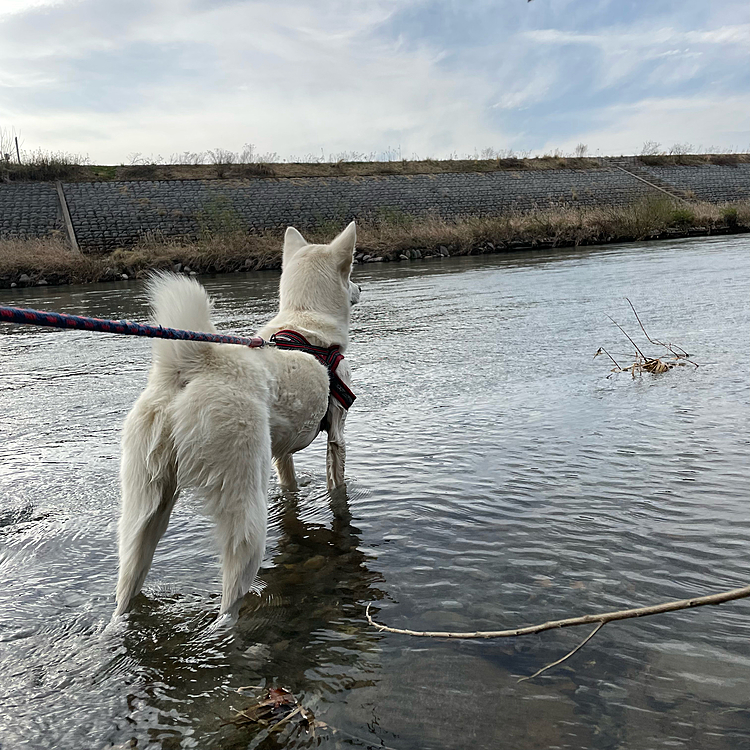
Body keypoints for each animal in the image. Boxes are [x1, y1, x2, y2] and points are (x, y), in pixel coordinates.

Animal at [115, 222, 362, 624]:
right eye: (351, 273)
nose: (360, 289)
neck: (304, 317)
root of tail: (190, 366)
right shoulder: (337, 434)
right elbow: (337, 486)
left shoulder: (280, 452)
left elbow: (291, 485)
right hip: (244, 508)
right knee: (231, 596)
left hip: (144, 512)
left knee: (126, 585)